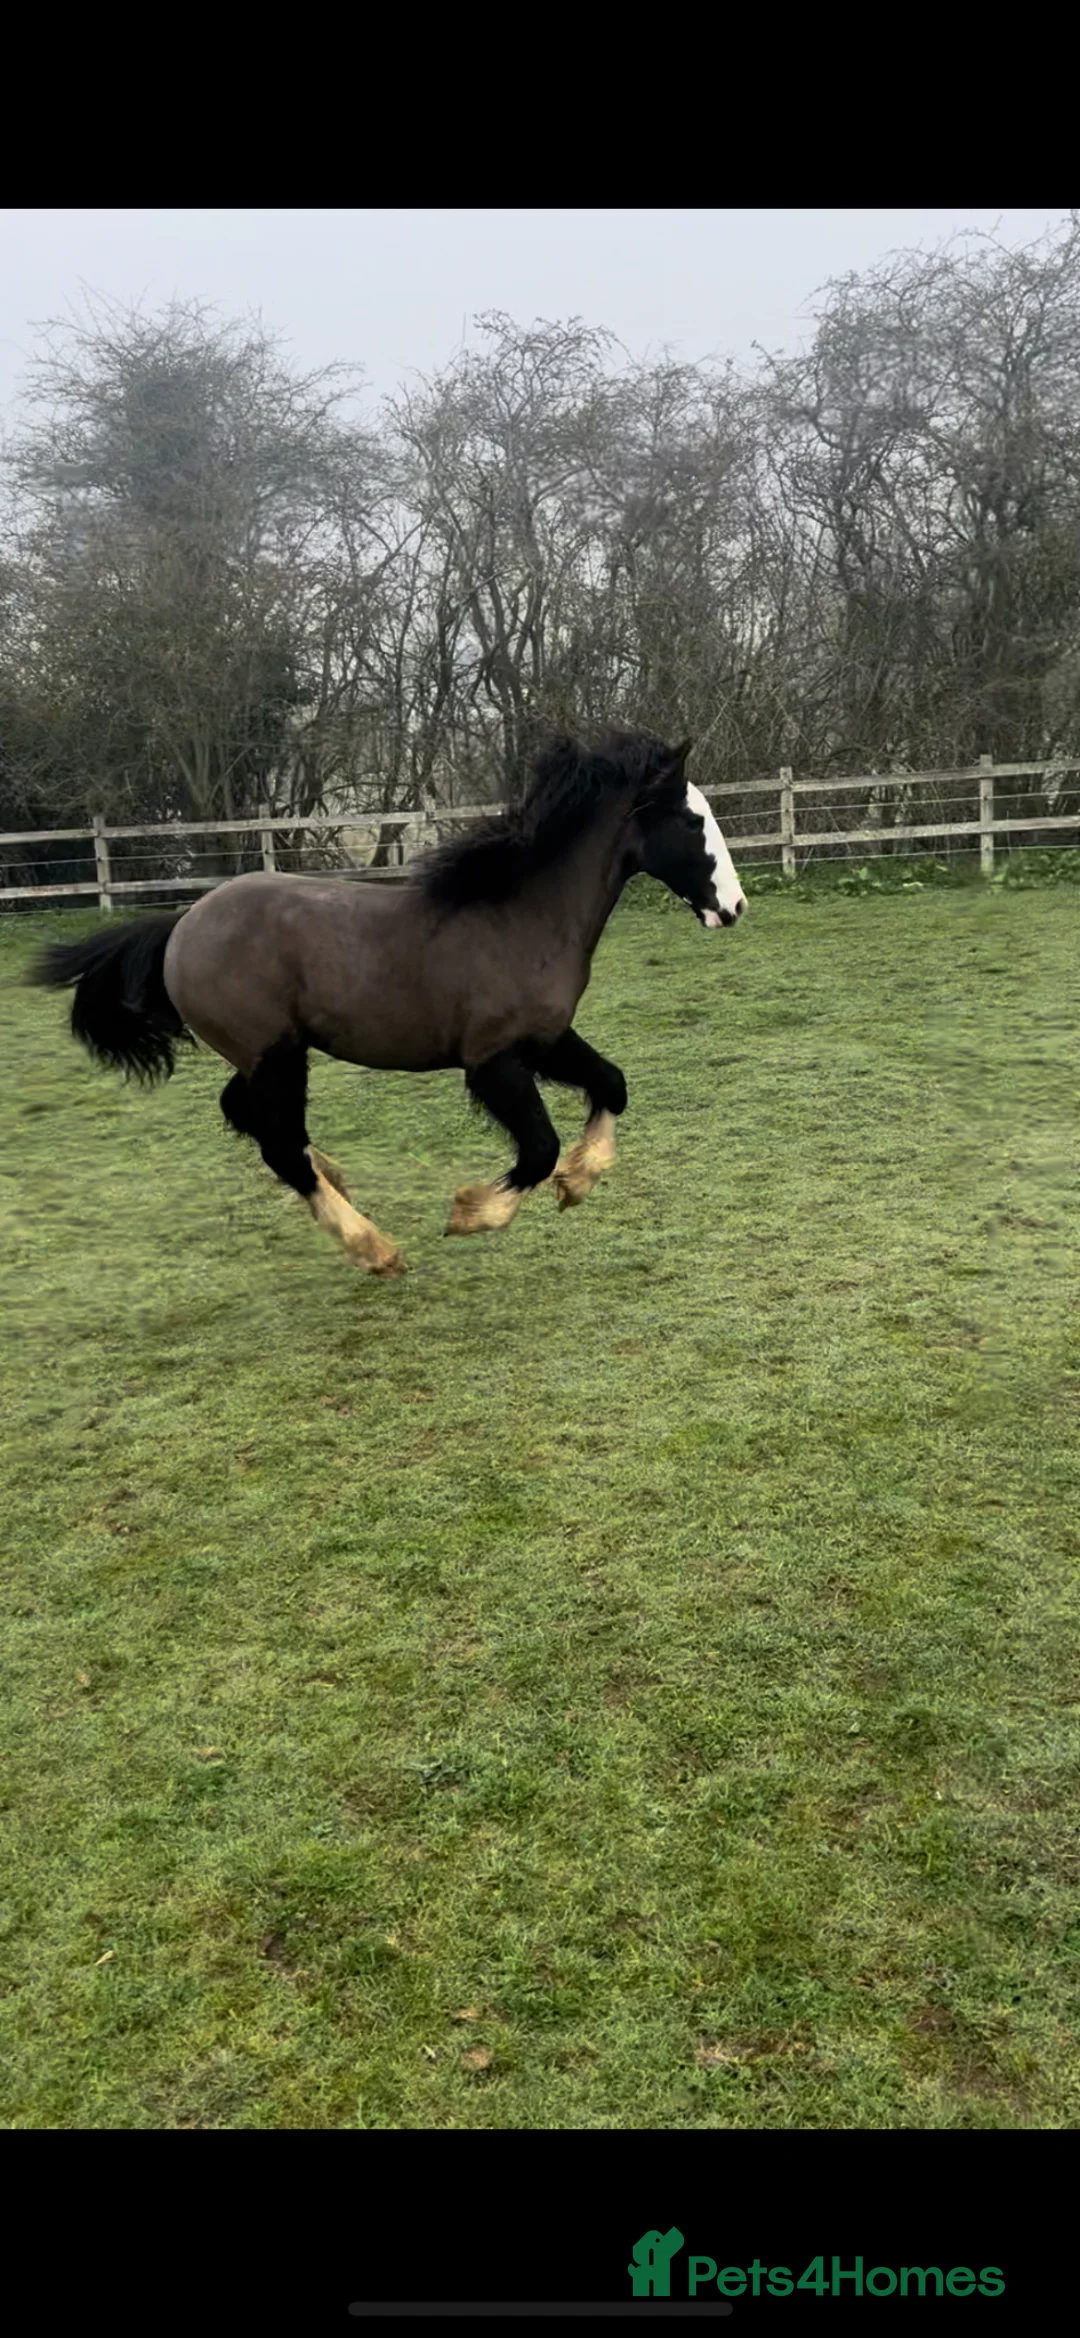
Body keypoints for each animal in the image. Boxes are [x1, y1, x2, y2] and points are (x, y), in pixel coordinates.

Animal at [30, 729, 747, 1278]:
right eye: (690, 820)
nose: (734, 907)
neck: (523, 919)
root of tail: (182, 924)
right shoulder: (493, 1062)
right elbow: (539, 1148)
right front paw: (472, 1213)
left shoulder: (546, 1041)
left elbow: (612, 1086)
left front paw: (579, 1181)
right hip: (276, 1054)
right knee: (278, 1143)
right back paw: (373, 1247)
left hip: (266, 1056)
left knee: (255, 1120)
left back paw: (337, 1182)